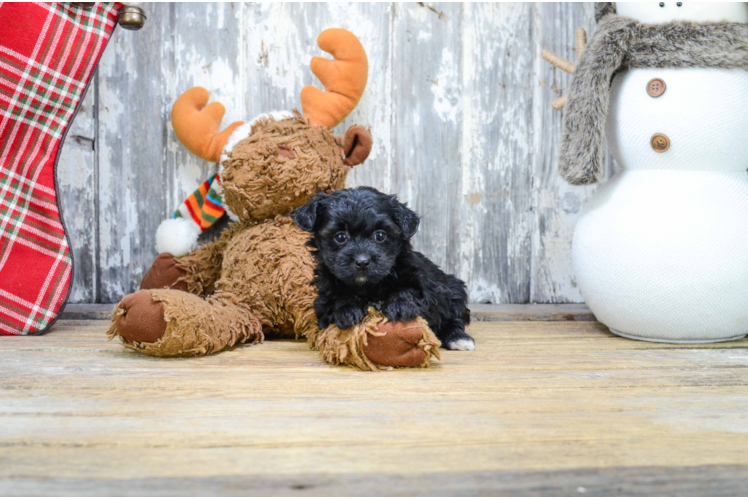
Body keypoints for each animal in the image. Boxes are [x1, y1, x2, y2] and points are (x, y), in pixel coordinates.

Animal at [292, 186, 474, 350]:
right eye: (340, 237)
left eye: (380, 235)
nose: (362, 261)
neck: (369, 286)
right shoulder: (324, 300)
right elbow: (337, 298)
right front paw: (348, 309)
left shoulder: (426, 286)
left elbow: (411, 290)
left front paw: (400, 305)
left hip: (454, 290)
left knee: (453, 318)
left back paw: (459, 338)